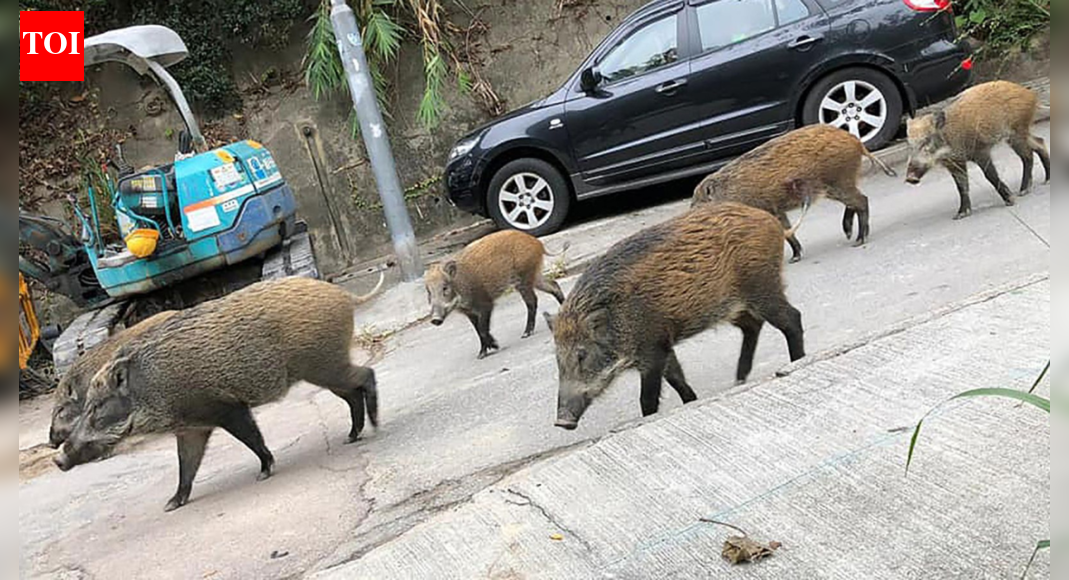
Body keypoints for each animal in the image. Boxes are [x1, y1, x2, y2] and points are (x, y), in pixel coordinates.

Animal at [426, 230, 566, 359]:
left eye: (445, 288)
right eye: (429, 291)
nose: (435, 320)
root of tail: (537, 242)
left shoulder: (486, 304)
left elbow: (482, 329)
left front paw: (493, 347)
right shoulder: (469, 313)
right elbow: (477, 331)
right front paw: (481, 354)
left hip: (523, 277)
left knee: (532, 301)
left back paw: (526, 334)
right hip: (534, 276)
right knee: (553, 285)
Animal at [545, 202, 806, 429]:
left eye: (582, 354)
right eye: (557, 358)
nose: (562, 422)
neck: (621, 319)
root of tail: (772, 222)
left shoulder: (652, 348)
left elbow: (648, 397)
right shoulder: (662, 342)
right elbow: (677, 378)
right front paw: (692, 400)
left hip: (763, 287)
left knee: (792, 318)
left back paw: (795, 361)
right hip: (736, 306)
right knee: (753, 326)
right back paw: (739, 379)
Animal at [693, 124, 896, 262]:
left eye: (698, 205)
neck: (729, 194)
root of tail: (856, 141)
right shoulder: (777, 210)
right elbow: (787, 231)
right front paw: (795, 258)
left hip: (838, 180)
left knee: (862, 200)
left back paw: (858, 240)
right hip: (836, 186)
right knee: (855, 202)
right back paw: (849, 234)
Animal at [906, 80, 1051, 220]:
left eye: (926, 140)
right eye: (910, 145)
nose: (910, 178)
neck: (949, 137)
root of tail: (1030, 94)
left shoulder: (980, 151)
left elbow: (990, 175)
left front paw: (1010, 201)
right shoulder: (956, 163)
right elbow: (961, 186)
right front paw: (960, 215)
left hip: (1016, 132)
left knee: (1028, 156)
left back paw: (1023, 191)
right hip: (1020, 133)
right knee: (1040, 143)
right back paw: (1047, 180)